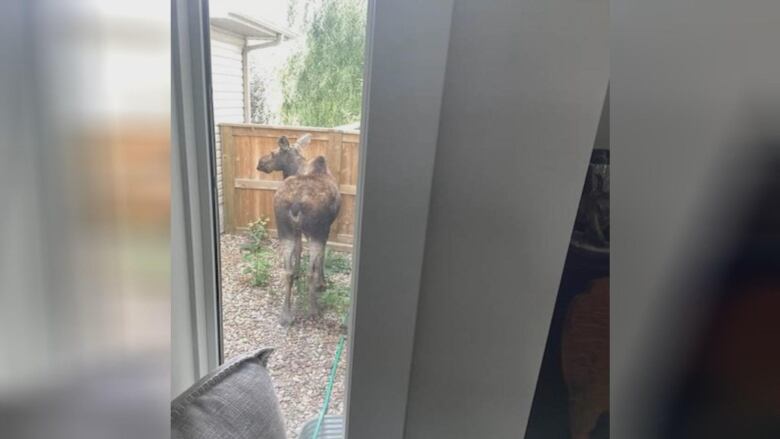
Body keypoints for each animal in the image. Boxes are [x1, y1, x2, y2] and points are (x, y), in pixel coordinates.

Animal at [256, 134, 342, 326]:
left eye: (273, 153)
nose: (259, 163)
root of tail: (295, 203)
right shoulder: (324, 229)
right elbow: (321, 258)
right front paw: (322, 282)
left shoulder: (299, 231)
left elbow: (298, 250)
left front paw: (297, 272)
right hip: (316, 231)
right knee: (311, 272)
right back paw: (314, 310)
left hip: (284, 229)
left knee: (286, 271)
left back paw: (286, 314)